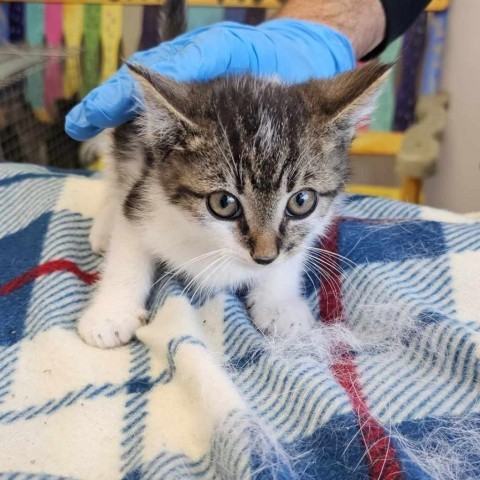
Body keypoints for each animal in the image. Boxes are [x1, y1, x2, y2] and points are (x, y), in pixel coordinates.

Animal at [77, 59, 388, 348]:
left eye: (301, 201)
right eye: (224, 203)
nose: (265, 256)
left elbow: (295, 250)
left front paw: (279, 303)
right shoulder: (147, 196)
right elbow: (128, 248)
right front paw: (111, 314)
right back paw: (105, 226)